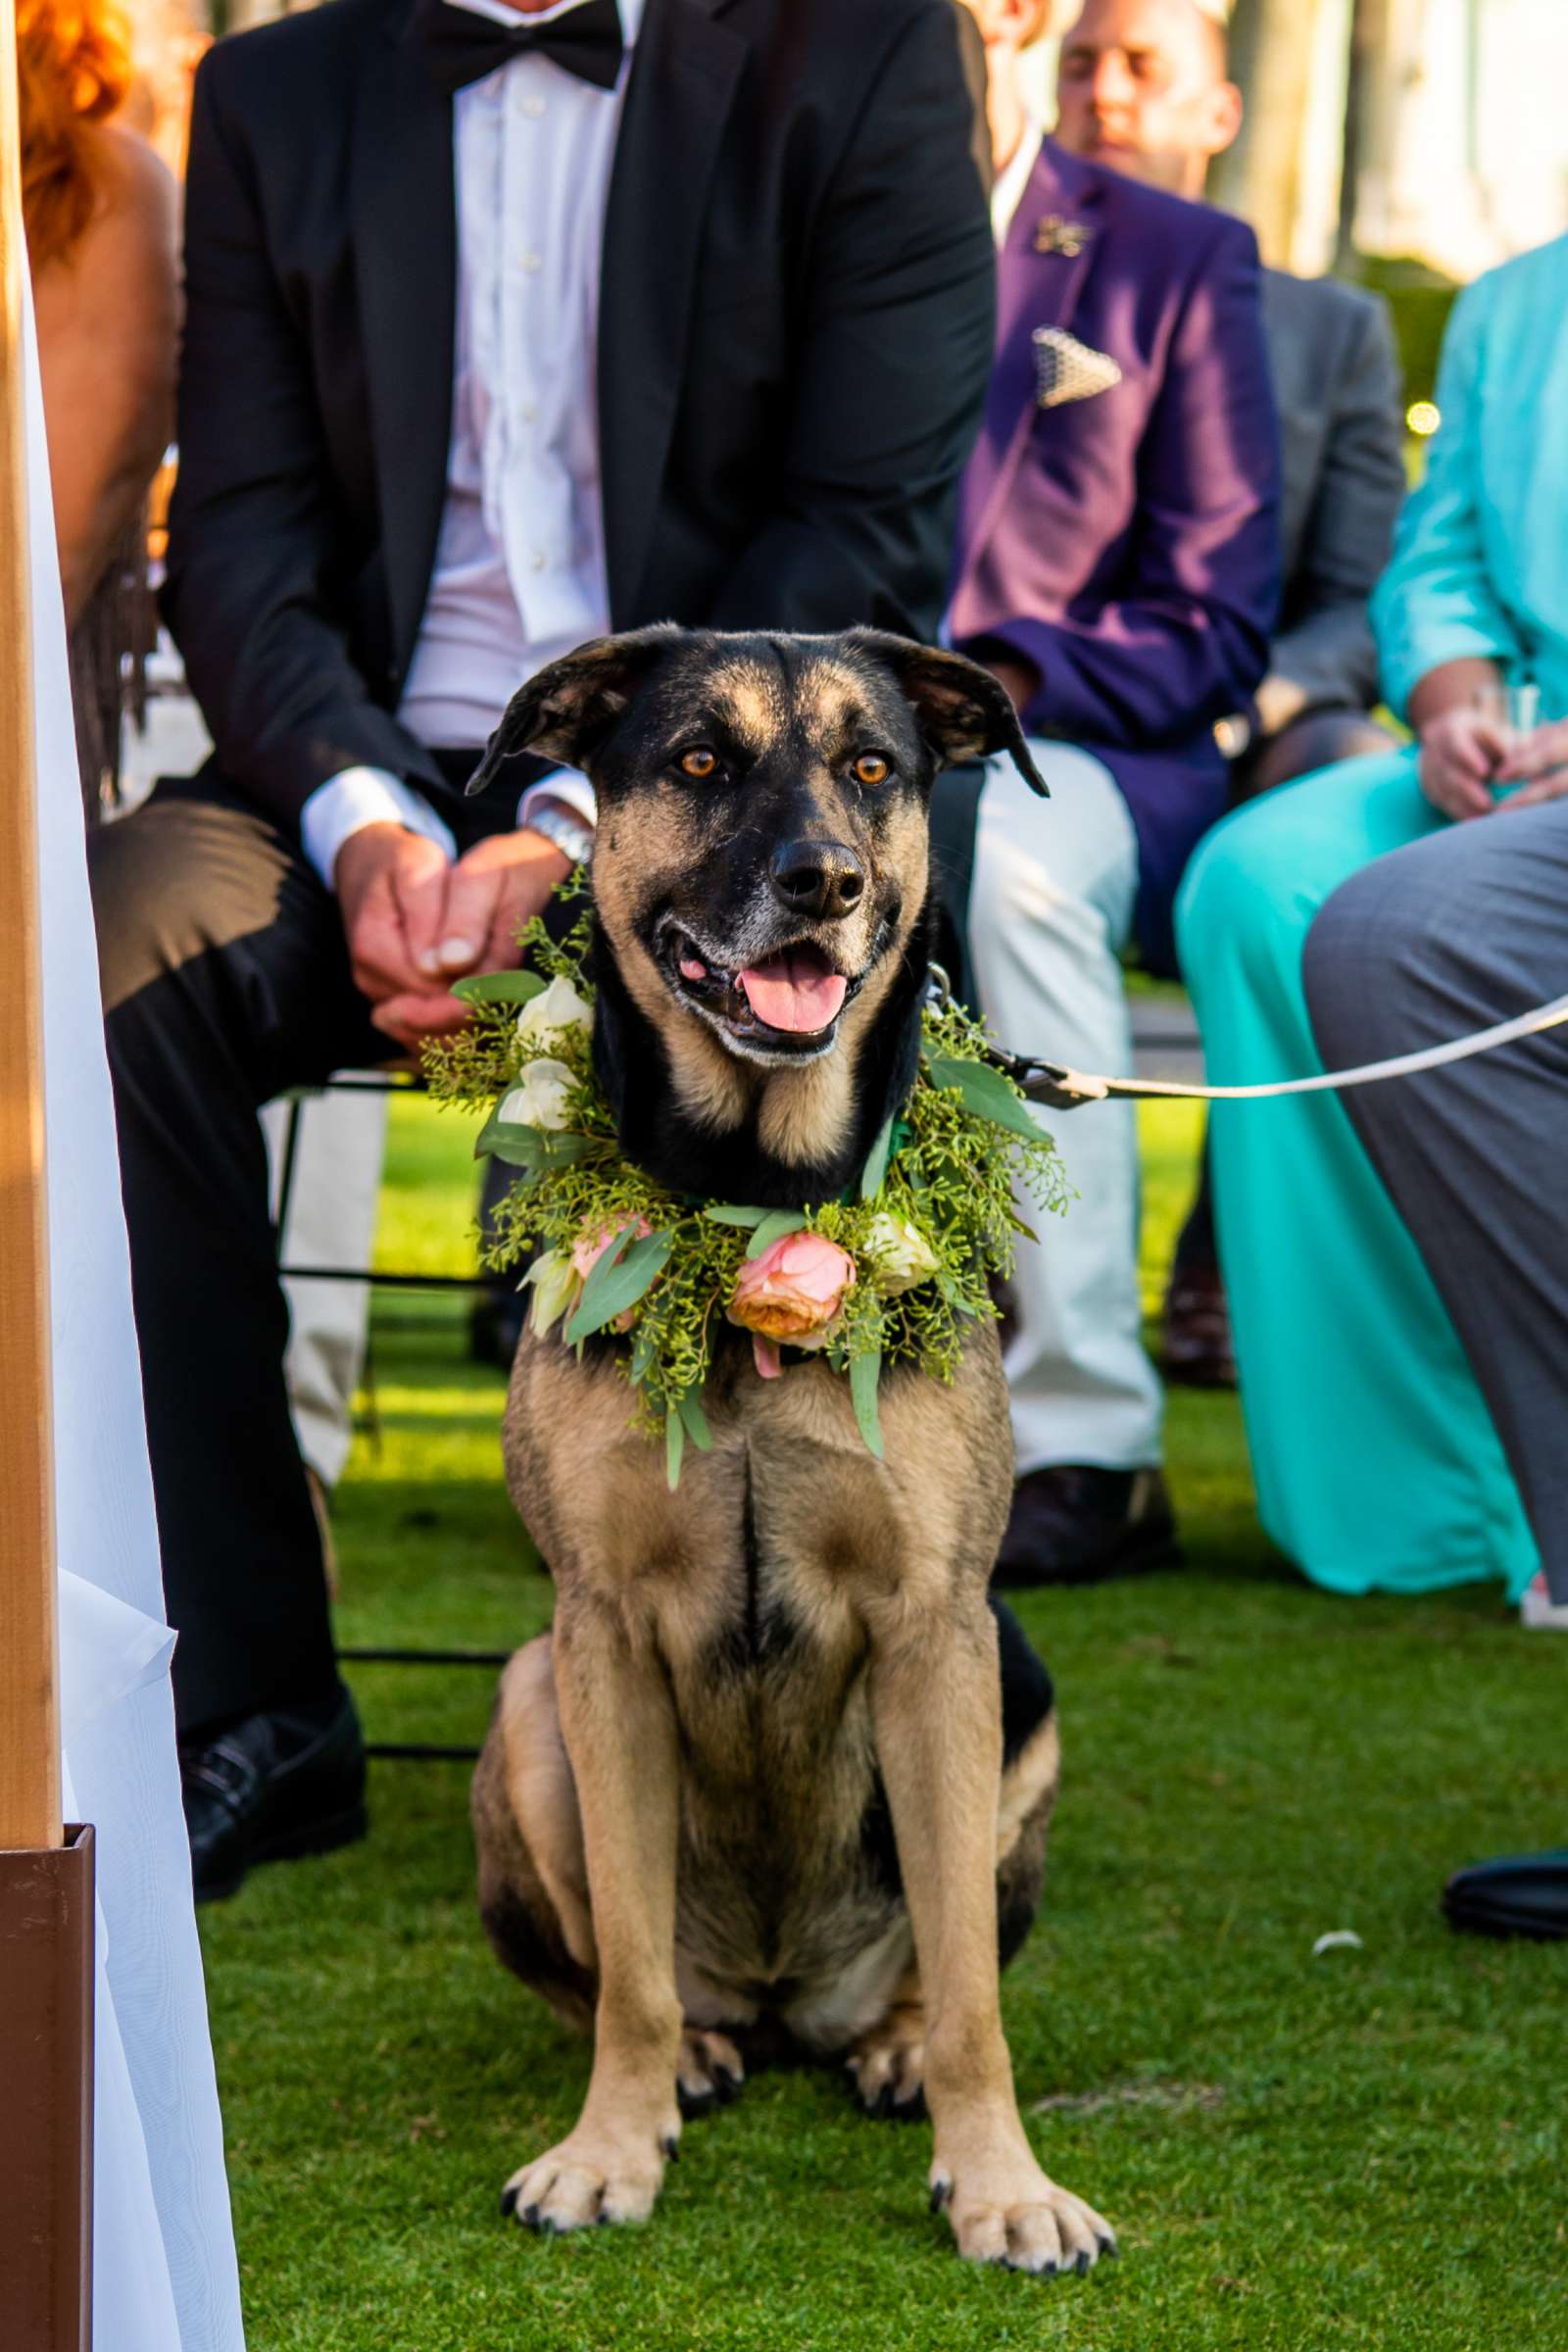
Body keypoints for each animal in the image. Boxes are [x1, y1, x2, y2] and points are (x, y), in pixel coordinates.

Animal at [465, 625, 1114, 2277]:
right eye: (701, 758)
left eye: (873, 766)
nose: (824, 878)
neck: (753, 1201)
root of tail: (779, 1990)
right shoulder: (601, 1636)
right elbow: (627, 1972)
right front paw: (610, 2149)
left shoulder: (936, 1631)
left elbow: (976, 1992)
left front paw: (1001, 2182)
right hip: (525, 1703)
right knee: (614, 1973)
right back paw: (702, 2049)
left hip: (1021, 1689)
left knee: (942, 1959)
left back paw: (884, 2043)